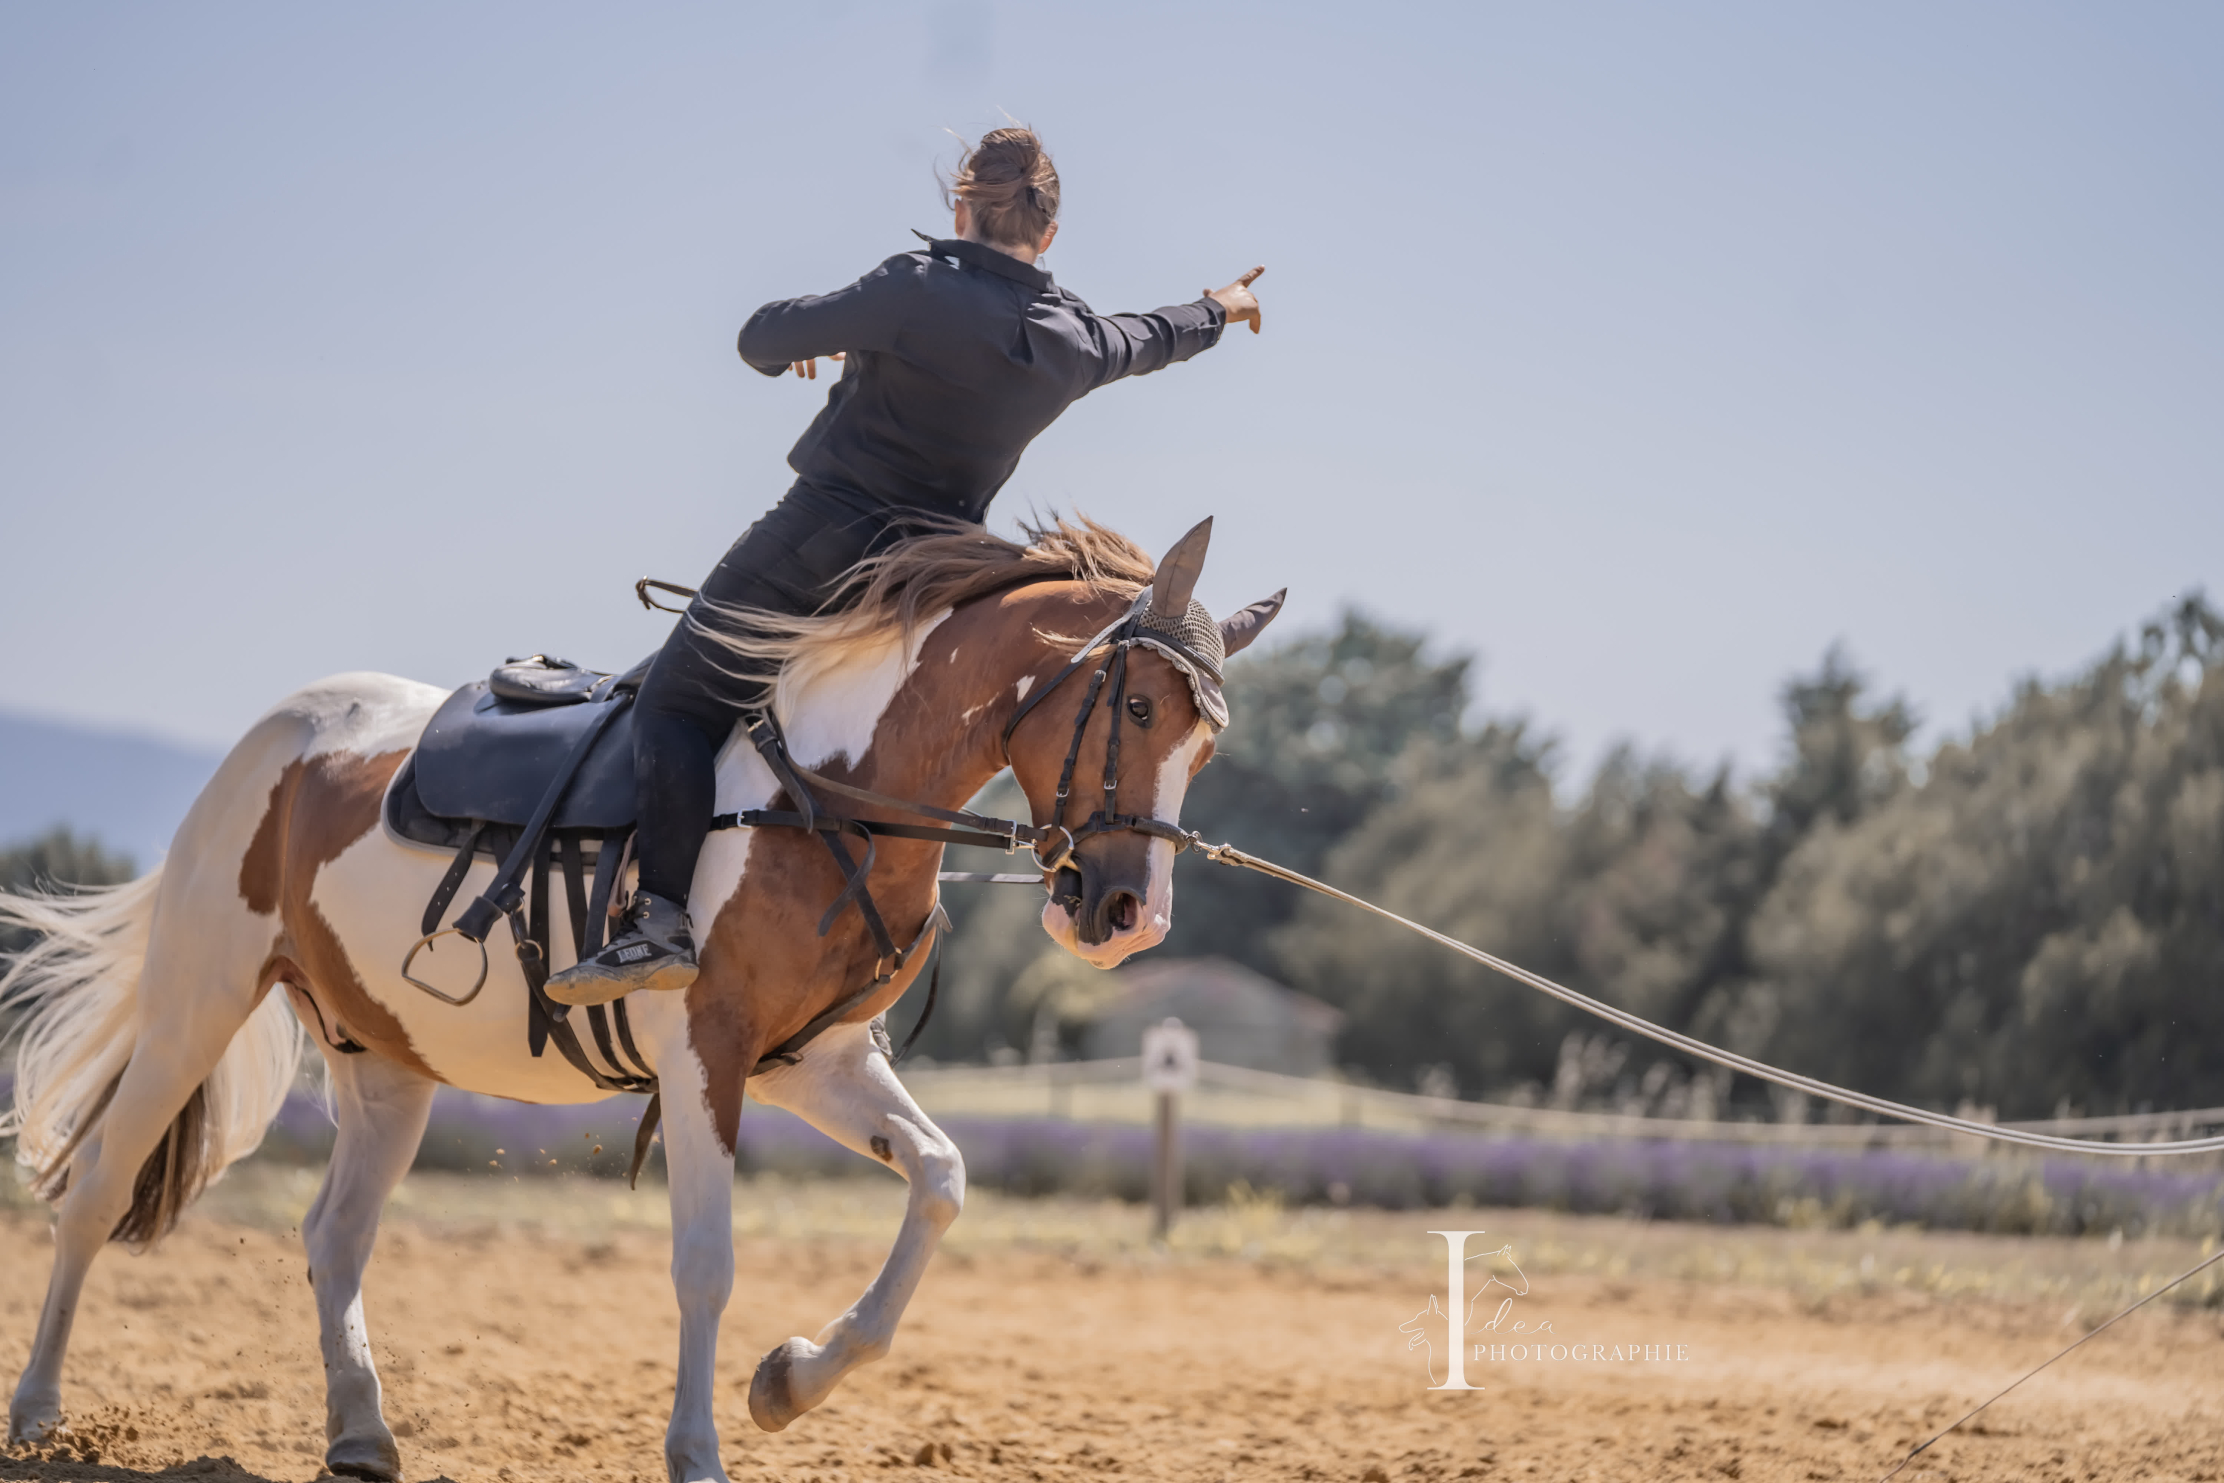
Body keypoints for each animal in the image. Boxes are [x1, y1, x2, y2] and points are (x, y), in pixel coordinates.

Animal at [0, 514, 1283, 1483]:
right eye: (1134, 710)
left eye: (1208, 748)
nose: (1128, 914)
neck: (825, 795)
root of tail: (285, 727)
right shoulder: (707, 1057)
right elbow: (706, 1258)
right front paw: (700, 1449)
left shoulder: (818, 1061)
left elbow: (942, 1177)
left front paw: (790, 1377)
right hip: (198, 997)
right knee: (98, 1185)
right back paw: (40, 1409)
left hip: (387, 1063)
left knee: (334, 1236)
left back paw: (362, 1431)